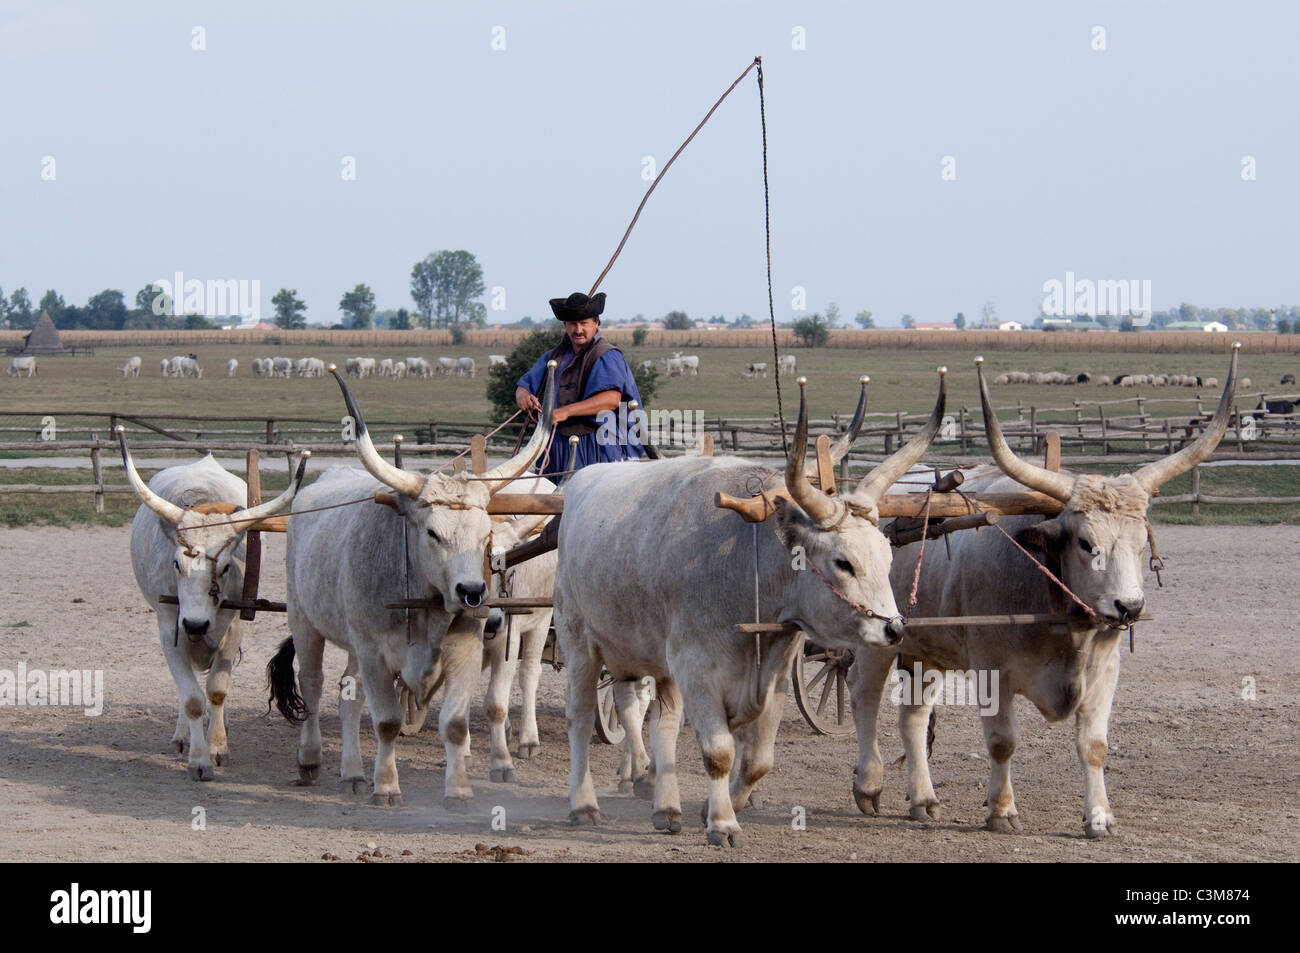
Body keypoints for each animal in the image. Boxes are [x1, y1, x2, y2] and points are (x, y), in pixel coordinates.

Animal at [120, 431, 305, 781]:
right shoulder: (170, 627)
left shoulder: (234, 626)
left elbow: (217, 689)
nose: (195, 624)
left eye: (226, 567)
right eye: (176, 564)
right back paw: (183, 735)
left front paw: (217, 745)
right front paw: (199, 758)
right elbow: (192, 698)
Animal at [266, 362, 558, 805]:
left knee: (348, 693)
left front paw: (459, 789)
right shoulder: (374, 652)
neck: (426, 608)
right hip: (305, 622)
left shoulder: (467, 650)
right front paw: (386, 786)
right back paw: (311, 759)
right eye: (432, 533)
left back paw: (352, 772)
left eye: (485, 535)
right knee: (313, 687)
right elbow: (386, 722)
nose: (473, 593)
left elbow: (456, 722)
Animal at [554, 373, 941, 844]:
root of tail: (580, 481)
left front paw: (714, 807)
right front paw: (722, 822)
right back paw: (583, 805)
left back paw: (666, 807)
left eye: (888, 556)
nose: (895, 629)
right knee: (580, 716)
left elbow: (757, 760)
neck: (744, 564)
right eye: (843, 562)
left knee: (660, 723)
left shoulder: (771, 677)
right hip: (578, 641)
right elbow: (719, 752)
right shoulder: (697, 669)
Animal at [848, 350, 1238, 838]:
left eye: (1140, 542)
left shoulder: (1105, 670)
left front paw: (1099, 816)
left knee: (914, 717)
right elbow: (1002, 742)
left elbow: (1094, 745)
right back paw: (869, 785)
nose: (1129, 607)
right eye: (1086, 543)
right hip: (878, 637)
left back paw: (923, 799)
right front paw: (1002, 810)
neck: (1058, 615)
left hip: (924, 647)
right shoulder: (991, 670)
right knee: (864, 696)